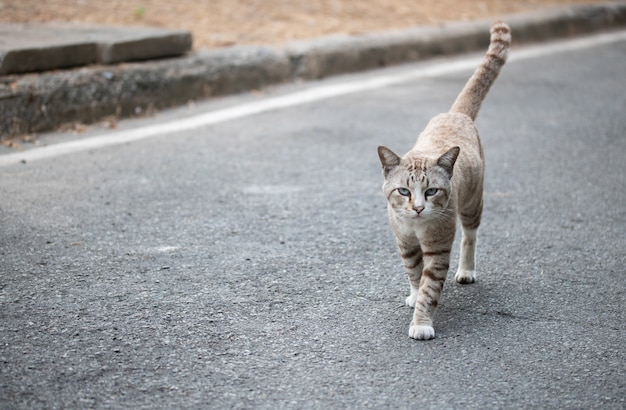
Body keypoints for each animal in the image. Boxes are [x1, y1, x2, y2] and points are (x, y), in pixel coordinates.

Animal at [376, 21, 508, 340]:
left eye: (432, 191)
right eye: (403, 191)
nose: (418, 208)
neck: (416, 228)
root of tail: (455, 113)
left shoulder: (437, 249)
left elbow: (429, 287)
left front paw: (422, 323)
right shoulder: (405, 243)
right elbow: (413, 273)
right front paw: (414, 295)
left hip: (473, 203)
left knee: (470, 236)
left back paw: (466, 271)